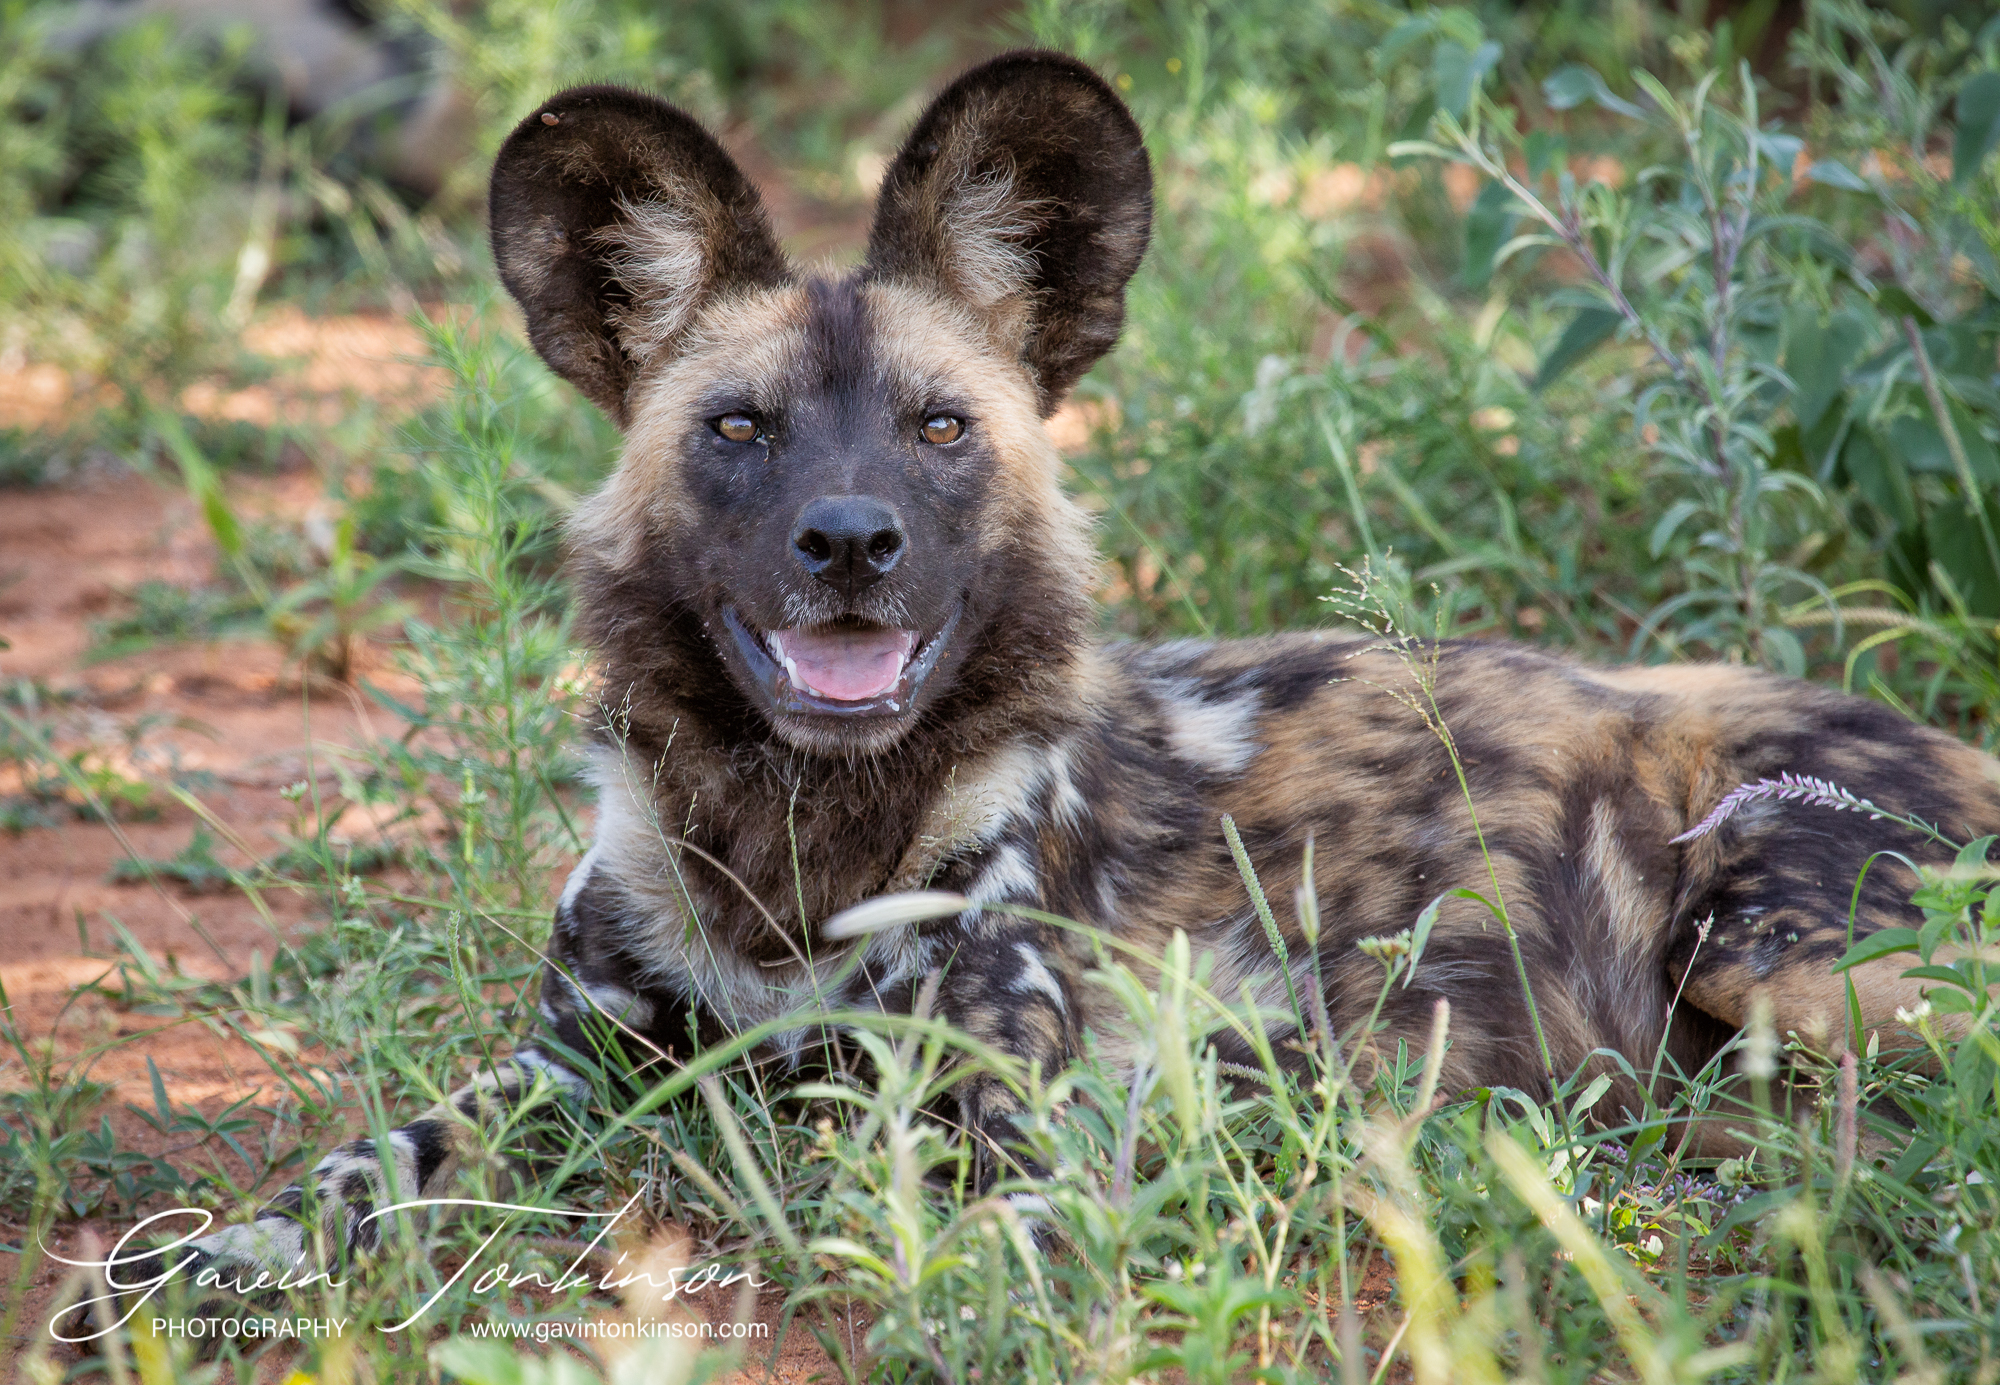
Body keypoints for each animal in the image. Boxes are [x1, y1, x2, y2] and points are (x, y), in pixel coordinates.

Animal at [145, 48, 2000, 1296]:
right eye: (737, 429)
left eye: (941, 429)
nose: (848, 542)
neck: (796, 840)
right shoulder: (567, 1065)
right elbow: (372, 1160)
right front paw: (226, 1257)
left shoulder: (1008, 1130)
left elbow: (911, 1229)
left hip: (1779, 958)